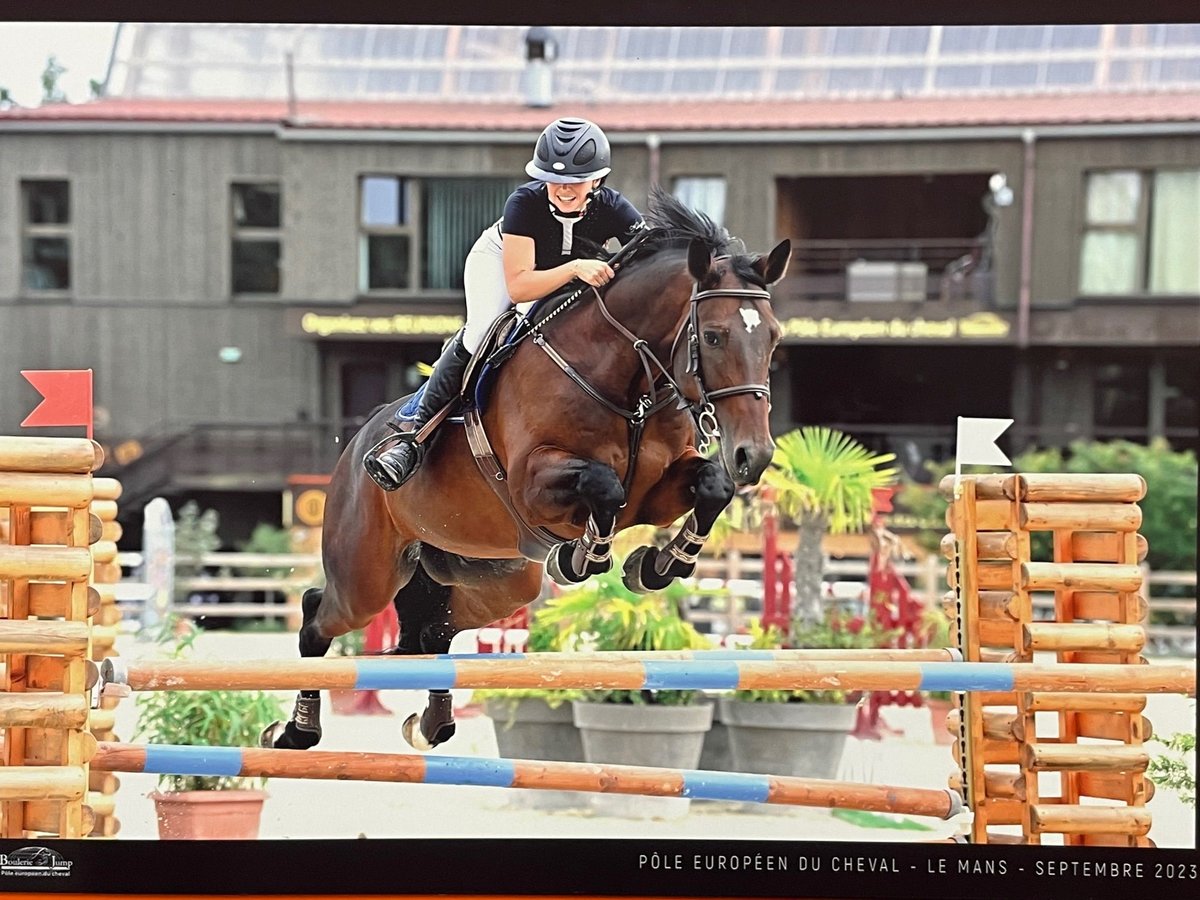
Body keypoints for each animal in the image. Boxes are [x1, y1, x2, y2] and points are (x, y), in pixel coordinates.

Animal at [260, 188, 787, 753]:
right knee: (317, 615)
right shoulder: (535, 485)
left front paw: (659, 565)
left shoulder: (659, 490)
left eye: (774, 338)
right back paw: (295, 731)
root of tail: (359, 443)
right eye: (713, 337)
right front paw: (583, 557)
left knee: (433, 630)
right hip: (367, 575)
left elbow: (712, 486)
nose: (754, 455)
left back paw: (429, 725)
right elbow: (603, 486)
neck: (624, 378)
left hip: (499, 579)